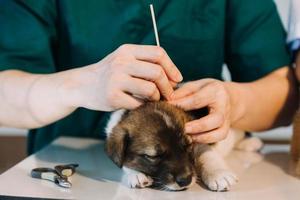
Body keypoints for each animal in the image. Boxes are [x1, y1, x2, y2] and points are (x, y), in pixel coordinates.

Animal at [105, 101, 262, 191]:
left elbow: (207, 157)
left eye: (188, 146)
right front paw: (136, 175)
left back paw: (250, 143)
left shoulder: (200, 140)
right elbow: (125, 164)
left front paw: (218, 174)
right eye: (153, 156)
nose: (185, 180)